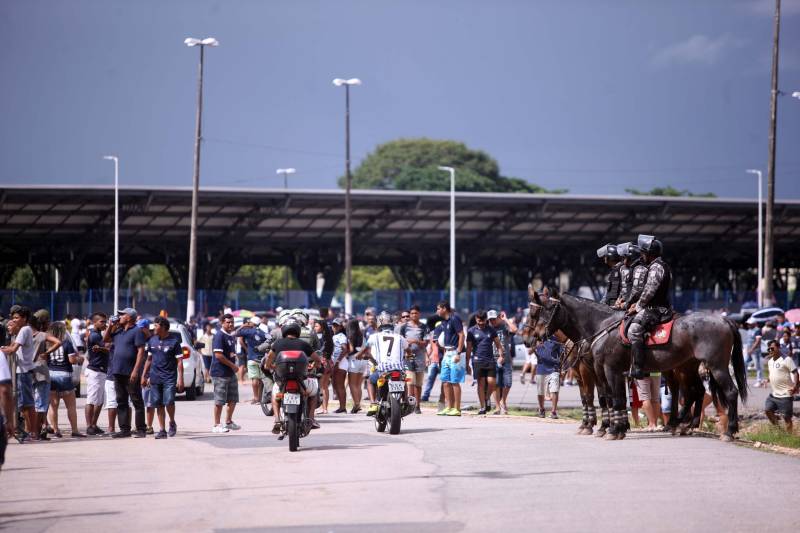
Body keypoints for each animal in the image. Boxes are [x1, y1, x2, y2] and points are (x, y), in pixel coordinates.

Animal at [536, 288, 748, 438]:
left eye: (549, 310)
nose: (536, 337)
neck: (602, 327)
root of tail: (725, 320)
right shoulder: (604, 371)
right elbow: (611, 398)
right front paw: (615, 426)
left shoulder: (608, 370)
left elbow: (613, 398)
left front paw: (613, 429)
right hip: (690, 366)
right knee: (695, 391)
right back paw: (682, 424)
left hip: (715, 366)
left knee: (728, 391)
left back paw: (728, 430)